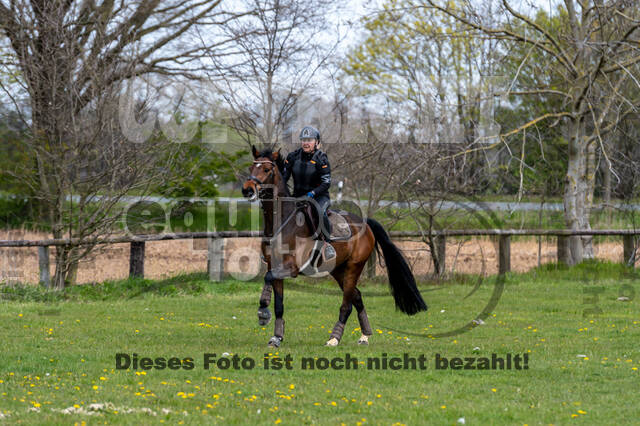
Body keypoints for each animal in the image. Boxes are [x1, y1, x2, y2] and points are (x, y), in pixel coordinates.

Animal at [240, 146, 424, 346]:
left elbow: (268, 277)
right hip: (338, 270)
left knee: (347, 304)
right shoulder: (275, 265)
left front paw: (263, 312)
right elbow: (278, 302)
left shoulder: (291, 267)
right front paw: (276, 336)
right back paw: (365, 335)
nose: (247, 190)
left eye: (267, 169)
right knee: (357, 297)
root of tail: (366, 224)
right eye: (251, 168)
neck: (281, 220)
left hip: (353, 267)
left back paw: (334, 338)